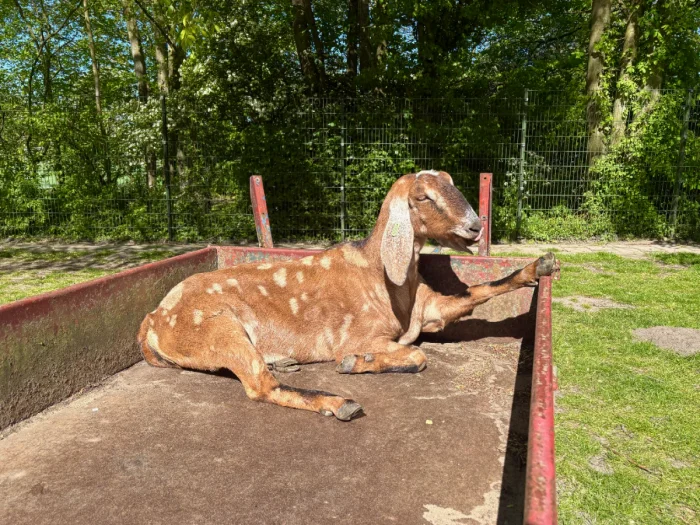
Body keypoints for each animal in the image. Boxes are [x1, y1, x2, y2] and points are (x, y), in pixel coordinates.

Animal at [138, 171, 557, 421]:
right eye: (423, 197)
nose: (474, 227)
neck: (383, 278)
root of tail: (153, 319)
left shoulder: (429, 310)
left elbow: (474, 295)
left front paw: (540, 266)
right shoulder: (359, 334)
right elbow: (418, 356)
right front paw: (356, 362)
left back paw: (285, 362)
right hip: (217, 326)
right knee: (259, 386)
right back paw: (339, 402)